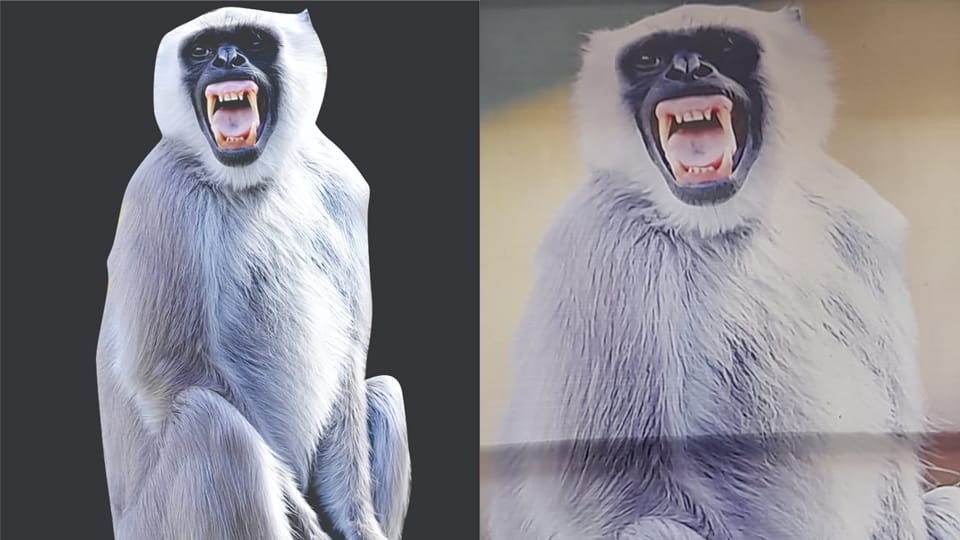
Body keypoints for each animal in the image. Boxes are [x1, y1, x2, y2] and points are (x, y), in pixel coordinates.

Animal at [95, 8, 410, 540]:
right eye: (203, 49)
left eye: (253, 41)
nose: (228, 58)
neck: (250, 180)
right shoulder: (159, 190)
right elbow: (167, 369)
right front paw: (307, 522)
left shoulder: (344, 183)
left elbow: (350, 360)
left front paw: (358, 524)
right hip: (157, 521)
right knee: (212, 423)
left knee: (384, 392)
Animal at [485, 5, 960, 540]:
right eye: (650, 58)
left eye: (725, 46)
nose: (688, 68)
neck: (725, 223)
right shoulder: (598, 246)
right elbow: (606, 489)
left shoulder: (859, 222)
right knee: (655, 526)